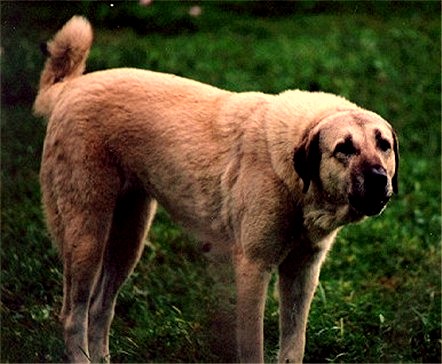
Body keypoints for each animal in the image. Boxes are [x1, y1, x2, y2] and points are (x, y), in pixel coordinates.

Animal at [34, 15, 398, 362]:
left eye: (384, 145)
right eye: (344, 149)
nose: (379, 179)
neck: (293, 176)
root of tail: (69, 88)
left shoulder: (302, 273)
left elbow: (294, 347)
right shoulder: (254, 267)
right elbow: (253, 348)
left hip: (129, 236)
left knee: (100, 308)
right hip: (87, 234)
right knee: (73, 316)